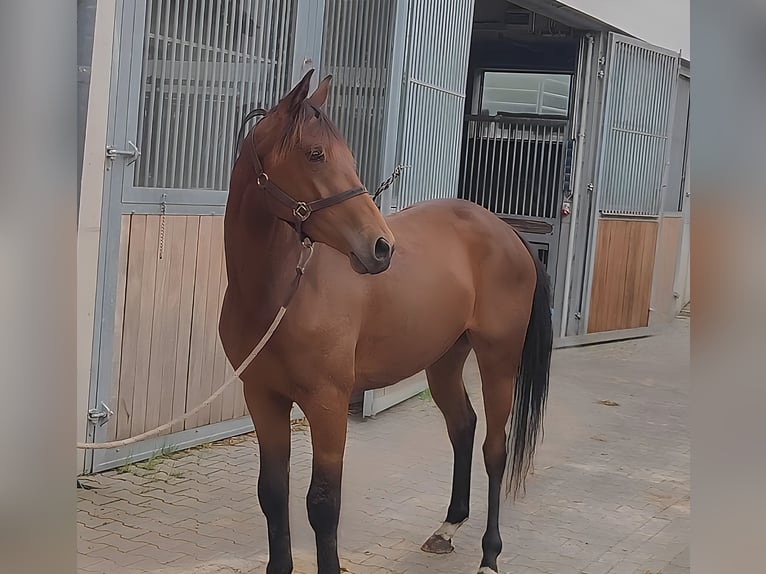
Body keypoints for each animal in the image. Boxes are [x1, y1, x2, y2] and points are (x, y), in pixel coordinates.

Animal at [219, 69, 553, 574]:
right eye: (315, 154)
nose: (381, 247)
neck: (280, 292)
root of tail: (507, 231)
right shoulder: (262, 397)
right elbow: (273, 495)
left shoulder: (328, 403)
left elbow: (323, 504)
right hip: (444, 360)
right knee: (463, 426)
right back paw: (447, 527)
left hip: (499, 362)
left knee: (494, 450)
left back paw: (490, 556)